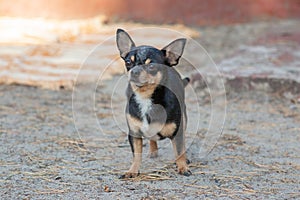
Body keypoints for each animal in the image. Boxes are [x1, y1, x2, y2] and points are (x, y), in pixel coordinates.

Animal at [116, 28, 191, 177]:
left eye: (151, 66)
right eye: (128, 62)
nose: (134, 71)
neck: (145, 97)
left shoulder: (177, 132)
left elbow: (179, 150)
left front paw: (183, 167)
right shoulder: (134, 134)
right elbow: (136, 154)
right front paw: (132, 170)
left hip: (184, 119)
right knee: (152, 138)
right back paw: (153, 150)